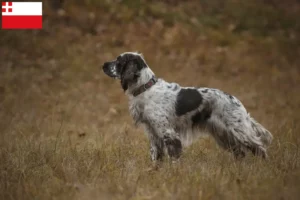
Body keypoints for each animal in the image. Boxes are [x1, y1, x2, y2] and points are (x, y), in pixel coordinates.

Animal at [102, 52, 274, 162]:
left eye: (119, 61)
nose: (103, 64)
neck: (146, 88)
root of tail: (236, 101)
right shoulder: (153, 134)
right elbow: (156, 157)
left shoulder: (168, 133)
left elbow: (174, 157)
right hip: (224, 134)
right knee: (241, 153)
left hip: (238, 130)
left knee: (259, 148)